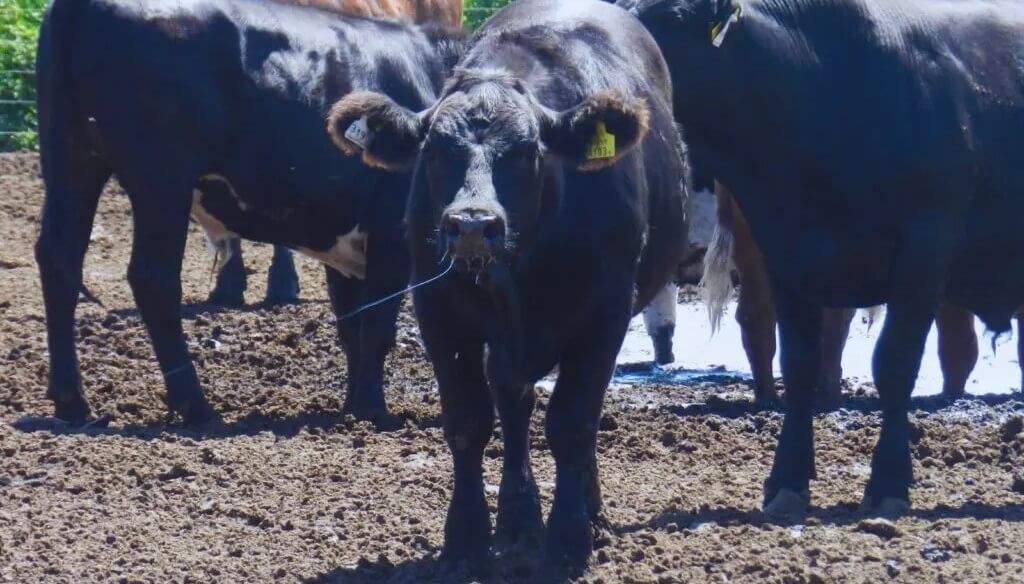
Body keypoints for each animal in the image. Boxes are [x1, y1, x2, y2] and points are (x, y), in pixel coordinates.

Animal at [36, 0, 458, 422]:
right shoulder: (390, 231)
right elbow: (377, 324)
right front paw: (373, 410)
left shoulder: (346, 234)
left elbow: (351, 325)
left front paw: (353, 404)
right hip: (160, 179)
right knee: (153, 278)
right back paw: (195, 405)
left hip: (69, 160)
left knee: (59, 260)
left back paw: (71, 400)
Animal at [323, 0, 684, 569]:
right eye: (433, 151)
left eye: (528, 150)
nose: (472, 224)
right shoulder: (438, 309)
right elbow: (469, 420)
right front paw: (467, 538)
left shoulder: (606, 310)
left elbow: (574, 422)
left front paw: (569, 539)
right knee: (514, 407)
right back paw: (517, 523)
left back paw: (588, 516)